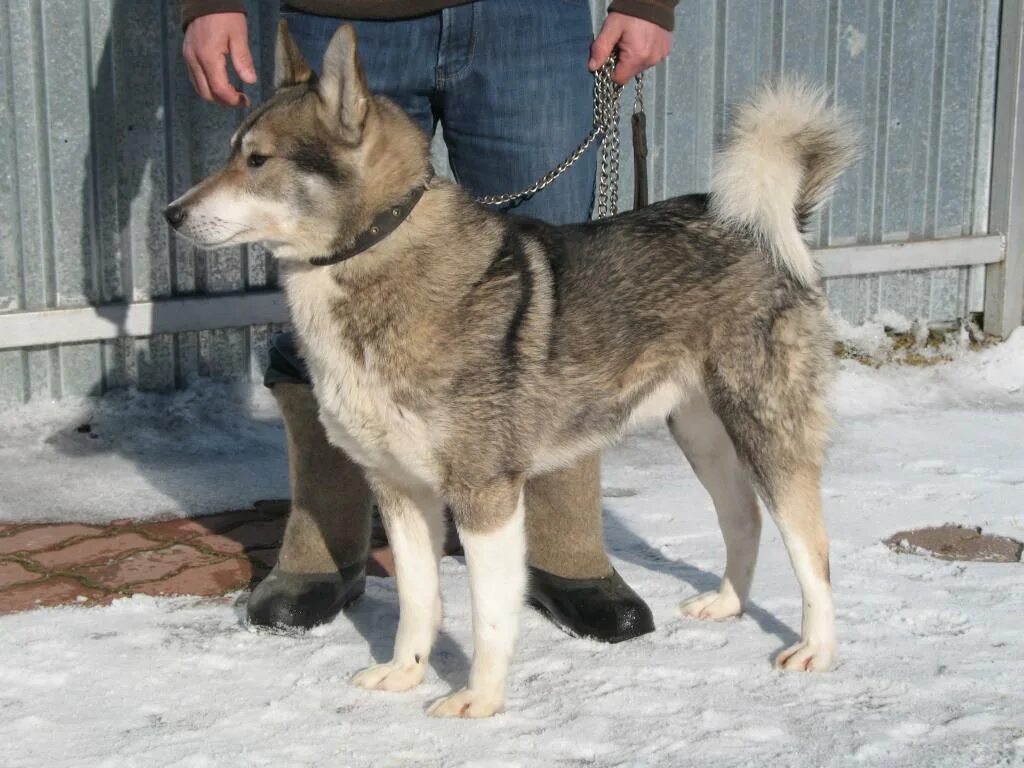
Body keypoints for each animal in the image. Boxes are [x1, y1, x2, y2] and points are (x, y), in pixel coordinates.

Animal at [165, 22, 856, 720]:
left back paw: (817, 651)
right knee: (743, 518)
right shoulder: (400, 492)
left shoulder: (485, 496)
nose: (171, 214)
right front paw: (406, 673)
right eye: (231, 154)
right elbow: (418, 601)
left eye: (259, 161)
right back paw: (729, 604)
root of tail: (769, 224)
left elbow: (489, 615)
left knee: (813, 548)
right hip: (701, 434)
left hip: (767, 435)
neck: (378, 253)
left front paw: (480, 699)